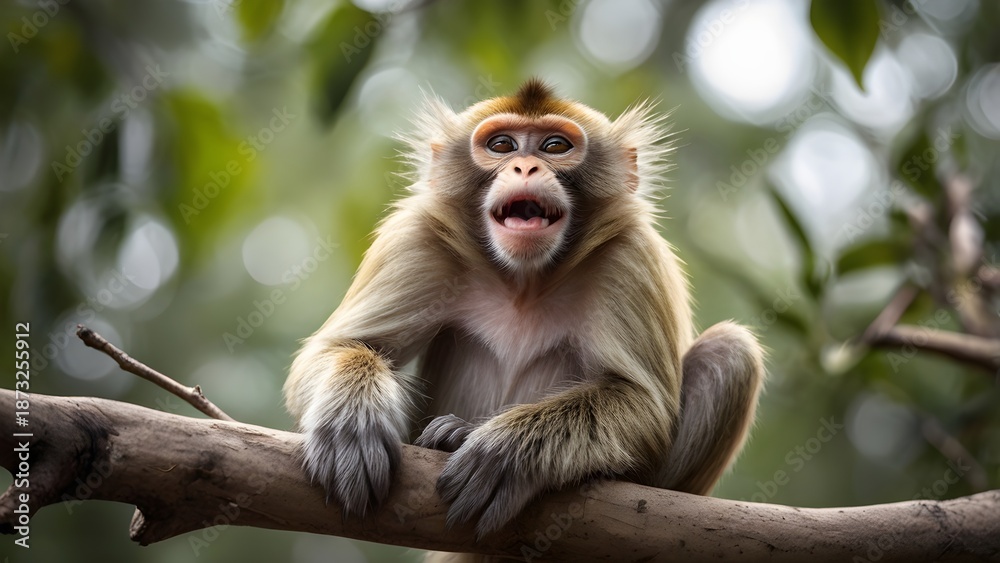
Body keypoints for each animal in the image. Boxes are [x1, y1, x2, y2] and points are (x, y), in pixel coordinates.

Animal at [284, 79, 765, 554]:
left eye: (554, 146)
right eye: (502, 145)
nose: (526, 169)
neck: (524, 281)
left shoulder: (631, 253)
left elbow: (643, 401)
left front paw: (507, 452)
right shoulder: (418, 235)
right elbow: (344, 347)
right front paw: (352, 422)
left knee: (730, 351)